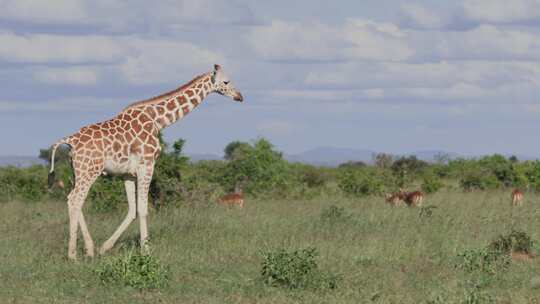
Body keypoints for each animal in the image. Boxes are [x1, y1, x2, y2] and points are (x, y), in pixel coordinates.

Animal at [48, 64, 243, 258]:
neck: (158, 120)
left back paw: (89, 248)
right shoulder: (147, 165)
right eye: (226, 81)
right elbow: (142, 209)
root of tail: (70, 141)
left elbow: (132, 210)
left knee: (72, 199)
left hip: (77, 171)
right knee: (75, 200)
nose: (239, 96)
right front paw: (146, 250)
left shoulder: (127, 174)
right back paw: (72, 255)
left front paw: (105, 247)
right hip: (89, 170)